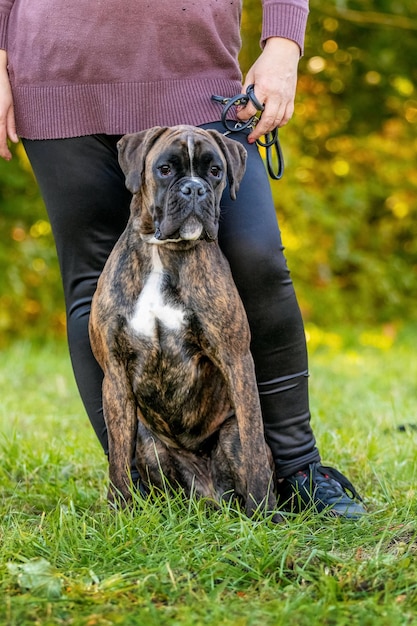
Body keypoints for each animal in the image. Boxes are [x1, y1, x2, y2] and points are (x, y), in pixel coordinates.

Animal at [91, 124, 280, 520]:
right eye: (165, 169)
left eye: (215, 171)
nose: (194, 188)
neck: (163, 253)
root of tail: (208, 496)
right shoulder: (114, 372)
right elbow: (117, 458)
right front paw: (118, 513)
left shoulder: (236, 359)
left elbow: (255, 444)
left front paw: (265, 512)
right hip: (148, 442)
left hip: (229, 435)